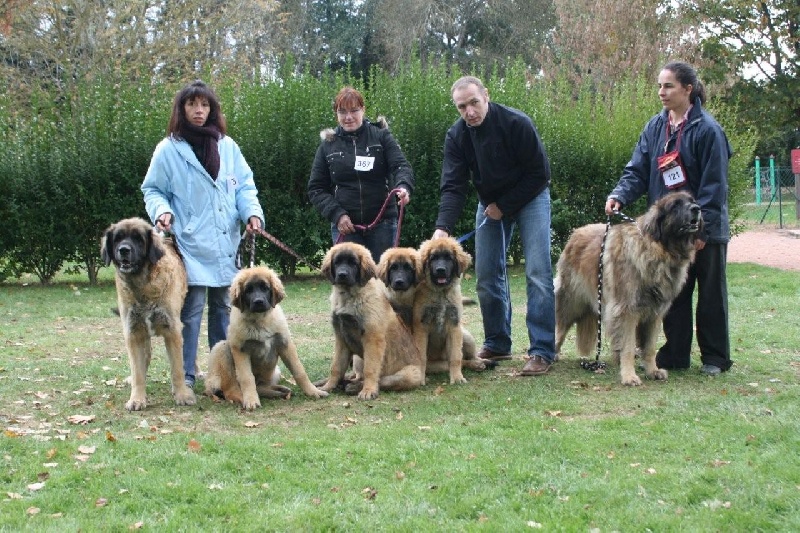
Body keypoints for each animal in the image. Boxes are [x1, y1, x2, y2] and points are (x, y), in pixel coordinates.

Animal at [101, 214, 195, 410]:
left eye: (138, 239)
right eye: (117, 239)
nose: (124, 250)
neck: (142, 286)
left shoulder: (173, 330)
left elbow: (177, 369)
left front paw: (182, 394)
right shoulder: (133, 332)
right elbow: (137, 371)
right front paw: (137, 399)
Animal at [209, 264, 332, 410]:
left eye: (265, 288)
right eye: (248, 290)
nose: (258, 302)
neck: (260, 320)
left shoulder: (285, 344)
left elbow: (299, 371)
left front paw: (313, 391)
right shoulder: (240, 349)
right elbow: (247, 377)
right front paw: (251, 400)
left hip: (275, 371)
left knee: (261, 387)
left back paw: (280, 390)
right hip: (221, 348)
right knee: (231, 388)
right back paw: (242, 397)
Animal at [318, 241, 424, 400]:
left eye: (353, 263)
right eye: (337, 262)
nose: (342, 275)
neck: (349, 296)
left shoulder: (372, 338)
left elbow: (371, 369)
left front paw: (368, 390)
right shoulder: (341, 338)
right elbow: (336, 367)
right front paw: (328, 387)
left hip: (410, 374)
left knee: (383, 380)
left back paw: (354, 387)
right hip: (358, 358)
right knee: (358, 375)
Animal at [412, 237, 476, 382]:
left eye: (449, 258)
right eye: (433, 258)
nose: (440, 270)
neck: (441, 293)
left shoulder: (454, 327)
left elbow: (456, 356)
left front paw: (457, 377)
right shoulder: (421, 328)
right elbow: (421, 357)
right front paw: (420, 378)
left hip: (466, 337)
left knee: (470, 357)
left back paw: (480, 363)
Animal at [552, 189, 704, 384]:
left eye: (692, 200)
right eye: (675, 205)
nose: (696, 208)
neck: (658, 250)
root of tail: (576, 233)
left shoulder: (655, 313)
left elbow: (649, 347)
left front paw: (652, 370)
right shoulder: (626, 311)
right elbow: (629, 346)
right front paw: (629, 376)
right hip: (573, 301)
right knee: (561, 326)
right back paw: (551, 352)